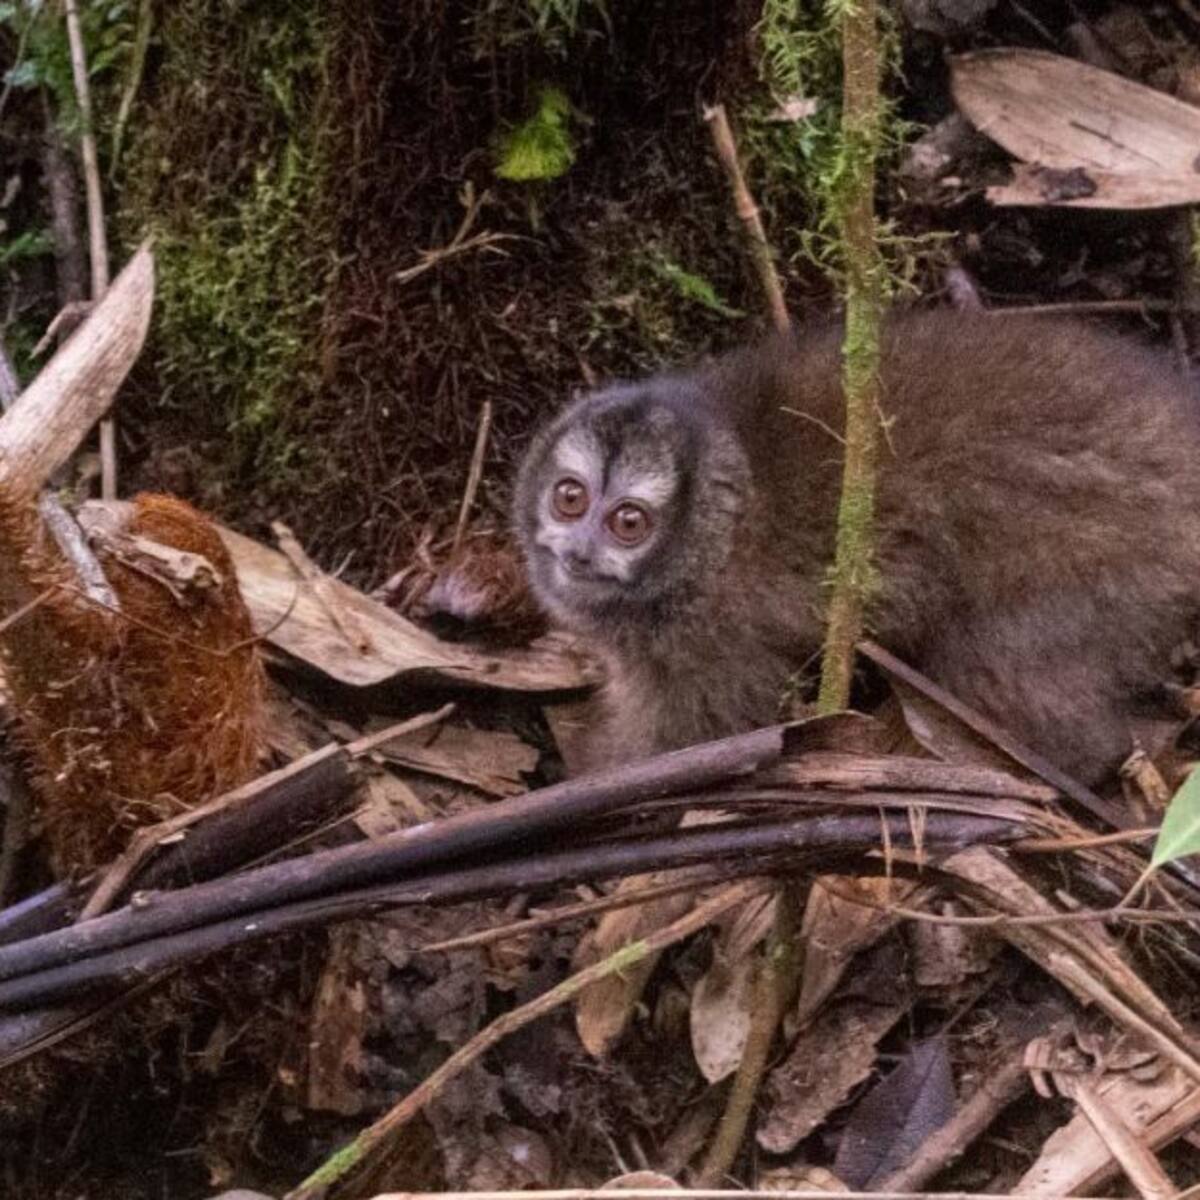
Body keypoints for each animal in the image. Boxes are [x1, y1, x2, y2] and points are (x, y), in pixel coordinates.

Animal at [513, 310, 1200, 783]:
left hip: (1111, 568)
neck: (717, 545)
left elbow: (680, 747)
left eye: (628, 522)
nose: (578, 553)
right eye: (570, 498)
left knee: (999, 667)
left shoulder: (714, 648)